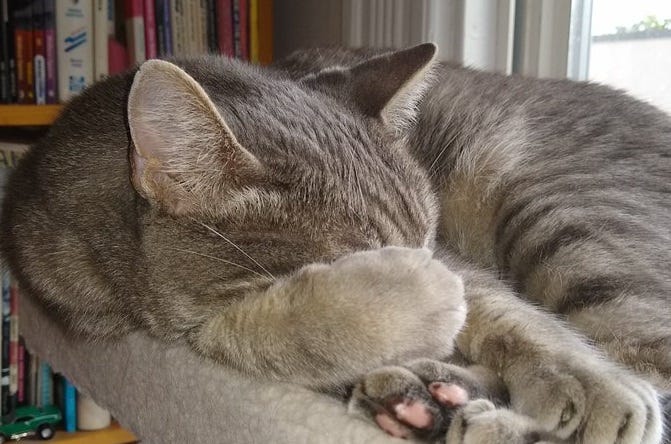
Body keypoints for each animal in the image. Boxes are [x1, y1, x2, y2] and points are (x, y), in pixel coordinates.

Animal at [0, 42, 668, 444]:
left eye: (427, 237)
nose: (428, 264)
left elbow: (510, 314)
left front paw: (586, 379)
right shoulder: (152, 321)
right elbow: (277, 330)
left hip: (560, 216)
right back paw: (433, 403)